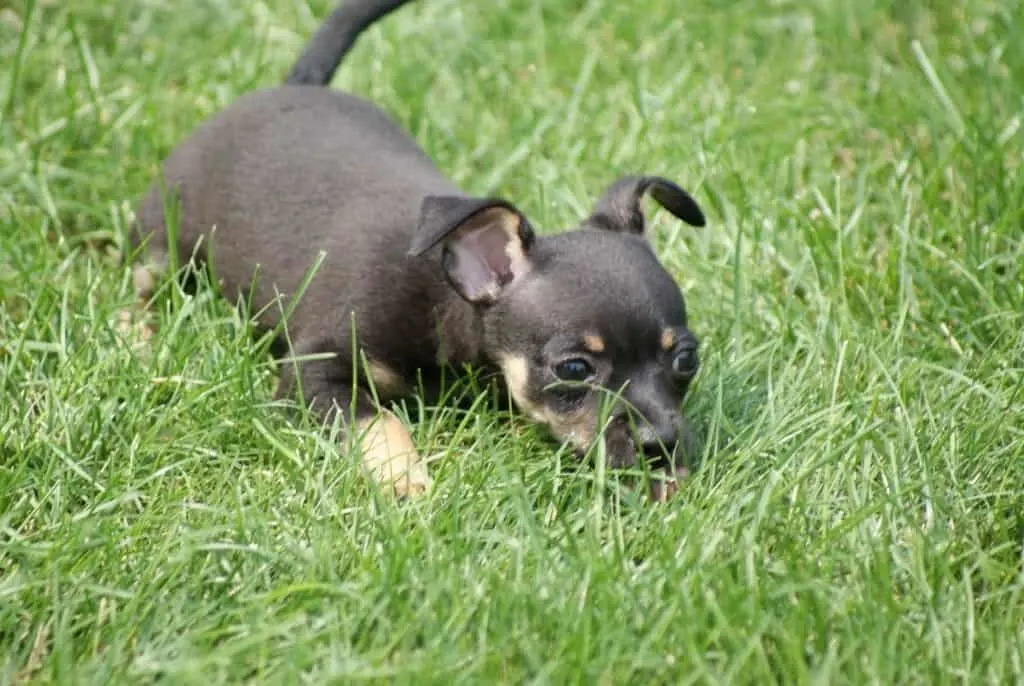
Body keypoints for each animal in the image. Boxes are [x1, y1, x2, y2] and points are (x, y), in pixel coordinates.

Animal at [128, 1, 708, 505]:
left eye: (686, 359)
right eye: (573, 369)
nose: (660, 446)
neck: (441, 295)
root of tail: (292, 86)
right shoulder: (315, 372)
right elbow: (380, 421)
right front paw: (405, 480)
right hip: (162, 237)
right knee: (141, 283)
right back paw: (137, 337)